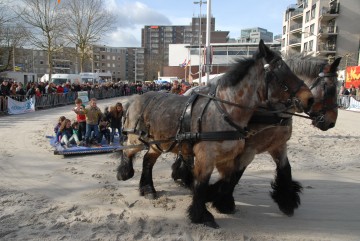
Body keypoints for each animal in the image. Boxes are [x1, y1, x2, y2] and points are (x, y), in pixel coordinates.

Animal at [116, 40, 314, 229]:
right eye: (281, 72)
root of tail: (135, 99)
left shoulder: (231, 158)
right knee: (128, 151)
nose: (309, 99)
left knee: (148, 160)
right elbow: (202, 184)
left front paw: (223, 203)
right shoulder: (207, 157)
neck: (225, 110)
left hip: (160, 143)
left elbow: (229, 180)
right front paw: (202, 215)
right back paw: (125, 172)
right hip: (137, 138)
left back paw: (148, 188)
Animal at [173, 54, 342, 217]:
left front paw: (287, 200)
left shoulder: (278, 146)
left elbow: (285, 169)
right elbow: (235, 175)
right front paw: (221, 201)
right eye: (329, 88)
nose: (331, 122)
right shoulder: (248, 149)